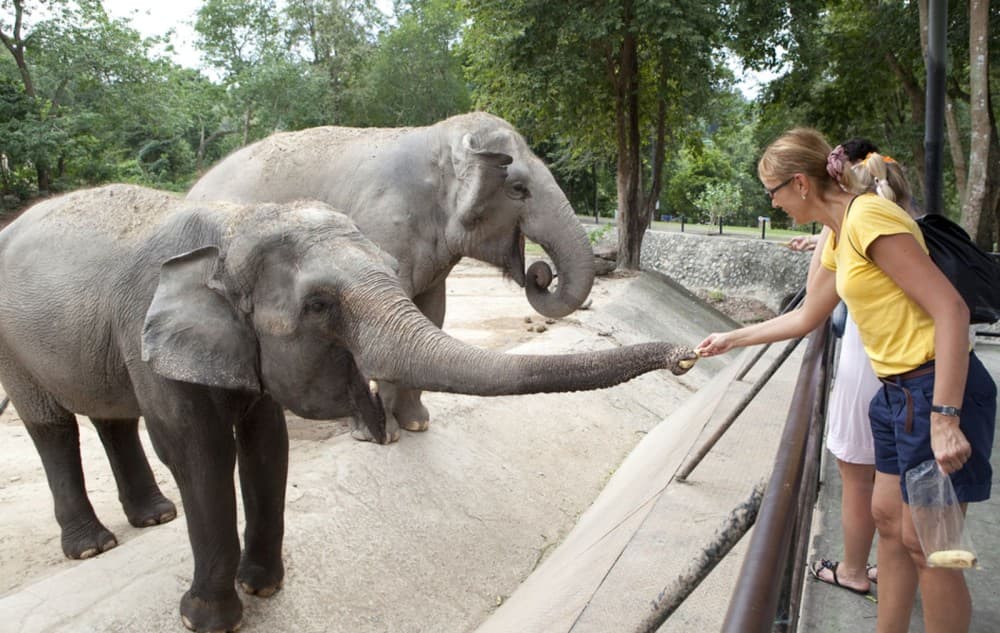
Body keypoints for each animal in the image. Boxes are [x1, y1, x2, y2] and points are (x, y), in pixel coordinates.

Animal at [0, 184, 695, 632]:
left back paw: (155, 518)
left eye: (390, 267)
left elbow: (266, 443)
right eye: (318, 305)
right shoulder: (147, 332)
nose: (688, 355)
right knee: (52, 425)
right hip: (15, 345)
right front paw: (207, 620)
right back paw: (92, 548)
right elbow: (198, 453)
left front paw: (264, 587)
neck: (232, 226)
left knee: (108, 415)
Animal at [187, 112, 594, 442]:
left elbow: (432, 313)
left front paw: (417, 424)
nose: (540, 274)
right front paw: (383, 435)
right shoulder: (382, 226)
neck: (437, 138)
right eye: (518, 189)